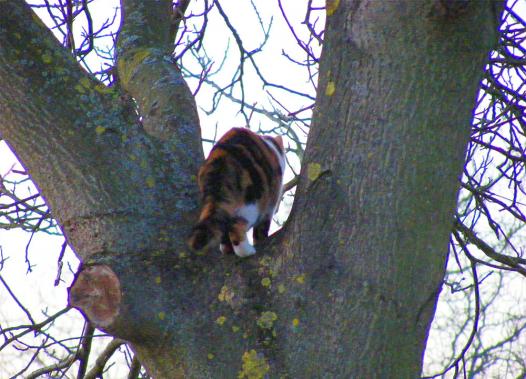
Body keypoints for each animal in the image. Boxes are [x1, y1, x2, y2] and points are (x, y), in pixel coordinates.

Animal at [189, 128, 286, 258]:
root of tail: (222, 156)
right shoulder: (269, 207)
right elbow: (261, 229)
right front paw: (262, 240)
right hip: (252, 202)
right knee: (236, 226)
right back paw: (246, 251)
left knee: (224, 224)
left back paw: (227, 249)